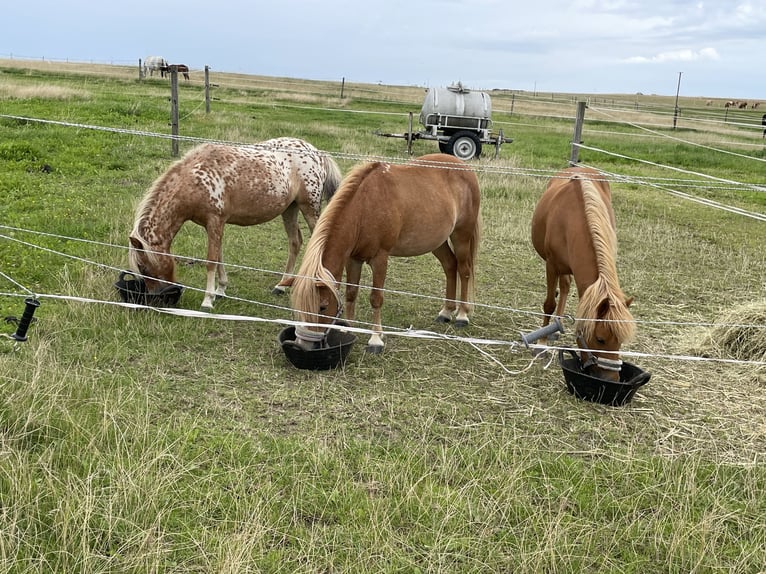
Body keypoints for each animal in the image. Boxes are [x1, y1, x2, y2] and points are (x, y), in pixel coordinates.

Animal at [128, 137, 342, 310]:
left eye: (144, 268)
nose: (155, 297)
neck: (196, 179)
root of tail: (317, 153)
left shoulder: (215, 221)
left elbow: (211, 260)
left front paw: (207, 300)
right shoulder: (213, 225)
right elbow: (219, 256)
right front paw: (220, 290)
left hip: (309, 208)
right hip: (290, 209)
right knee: (295, 242)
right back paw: (281, 286)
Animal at [292, 153, 484, 356]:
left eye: (322, 306)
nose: (303, 345)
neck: (364, 207)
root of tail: (464, 168)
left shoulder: (380, 259)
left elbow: (376, 298)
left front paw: (376, 339)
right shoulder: (354, 259)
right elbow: (351, 293)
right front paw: (348, 330)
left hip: (461, 236)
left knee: (464, 270)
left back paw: (462, 314)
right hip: (437, 242)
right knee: (450, 266)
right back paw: (446, 311)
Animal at [536, 166, 636, 382]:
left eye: (620, 342)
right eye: (600, 339)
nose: (611, 379)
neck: (571, 219)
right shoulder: (552, 265)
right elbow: (549, 303)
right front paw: (541, 343)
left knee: (565, 286)